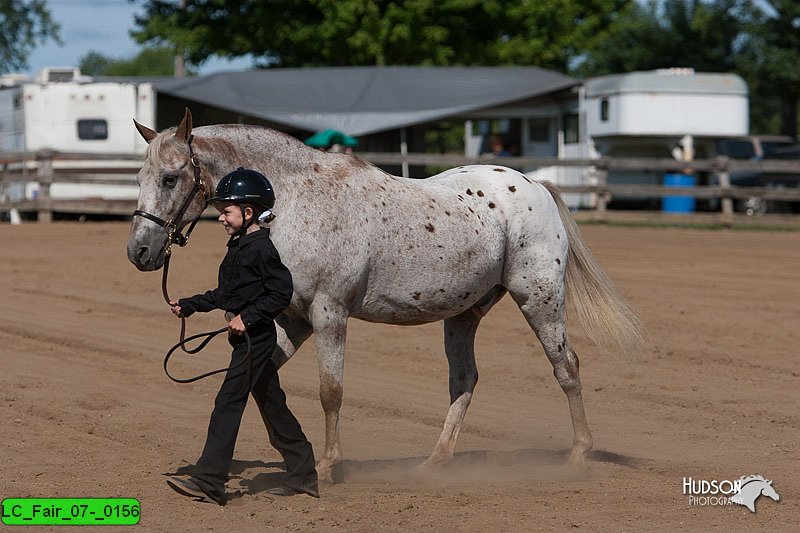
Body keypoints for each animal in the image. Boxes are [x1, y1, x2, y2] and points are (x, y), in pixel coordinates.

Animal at [130, 109, 644, 482]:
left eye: (171, 178)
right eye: (139, 178)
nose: (139, 251)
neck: (294, 201)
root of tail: (537, 186)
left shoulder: (329, 314)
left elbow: (331, 391)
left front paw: (327, 466)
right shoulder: (292, 319)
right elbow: (257, 379)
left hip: (539, 300)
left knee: (567, 368)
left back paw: (578, 456)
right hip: (465, 313)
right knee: (465, 380)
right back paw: (435, 462)